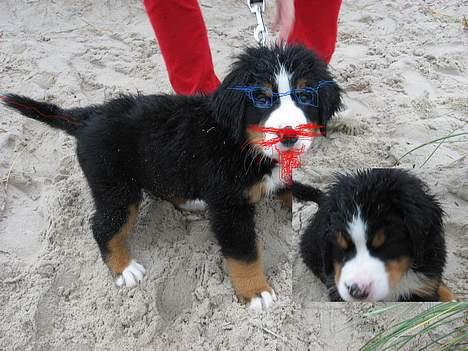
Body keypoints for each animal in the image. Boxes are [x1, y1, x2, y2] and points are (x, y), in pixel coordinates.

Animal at [1, 45, 342, 312]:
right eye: (261, 97)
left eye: (305, 95)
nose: (289, 137)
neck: (241, 142)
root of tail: (89, 115)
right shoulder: (228, 204)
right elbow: (244, 252)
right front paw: (256, 291)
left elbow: (296, 188)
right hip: (116, 188)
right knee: (103, 225)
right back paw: (124, 269)